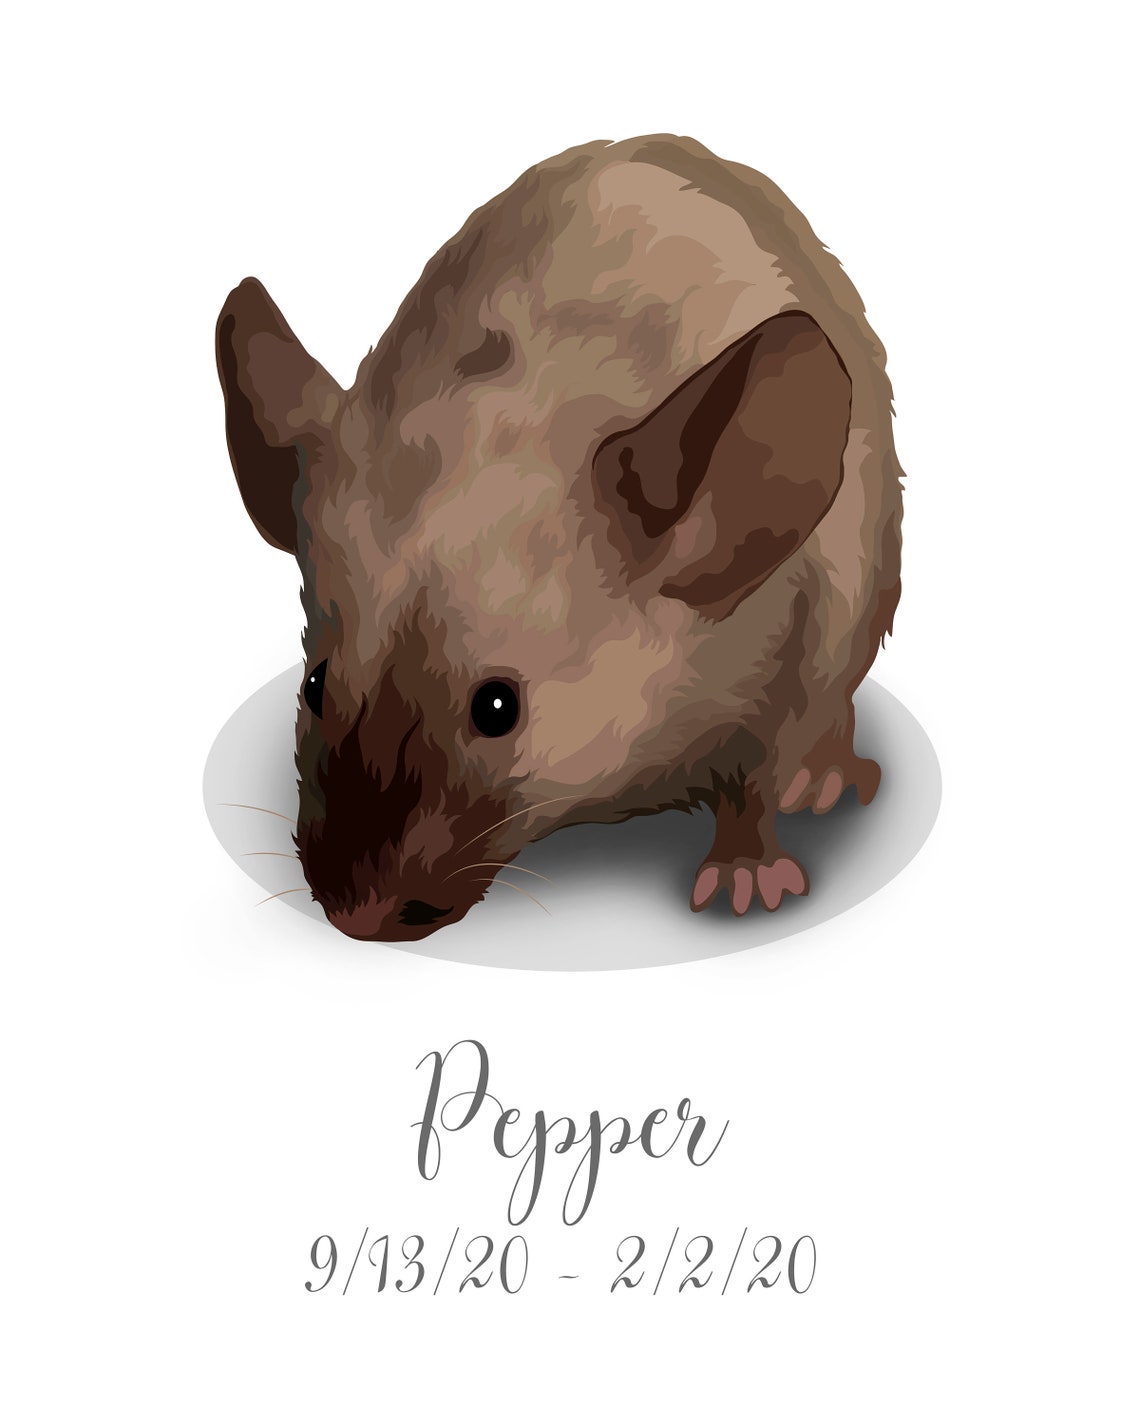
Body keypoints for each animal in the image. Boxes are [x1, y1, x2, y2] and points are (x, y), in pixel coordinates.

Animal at [215, 134, 904, 942]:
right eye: (315, 685)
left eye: (497, 708)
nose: (357, 916)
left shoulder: (790, 636)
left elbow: (756, 779)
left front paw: (748, 875)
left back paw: (826, 774)